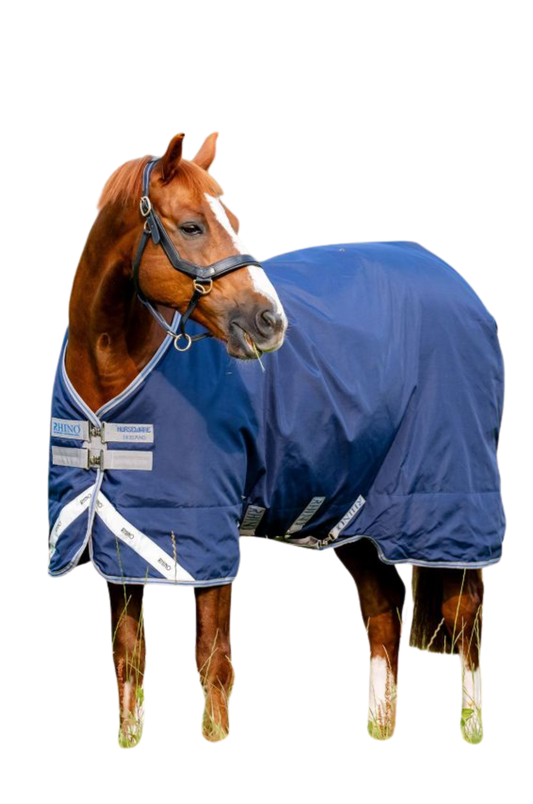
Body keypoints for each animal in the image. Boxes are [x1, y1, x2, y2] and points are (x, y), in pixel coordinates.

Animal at [44, 128, 508, 750]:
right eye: (191, 225)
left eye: (235, 218)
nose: (270, 321)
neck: (109, 382)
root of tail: (459, 285)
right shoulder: (114, 534)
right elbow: (128, 659)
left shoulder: (210, 538)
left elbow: (213, 661)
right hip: (351, 513)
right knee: (384, 614)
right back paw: (380, 727)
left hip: (450, 506)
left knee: (465, 621)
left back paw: (471, 729)